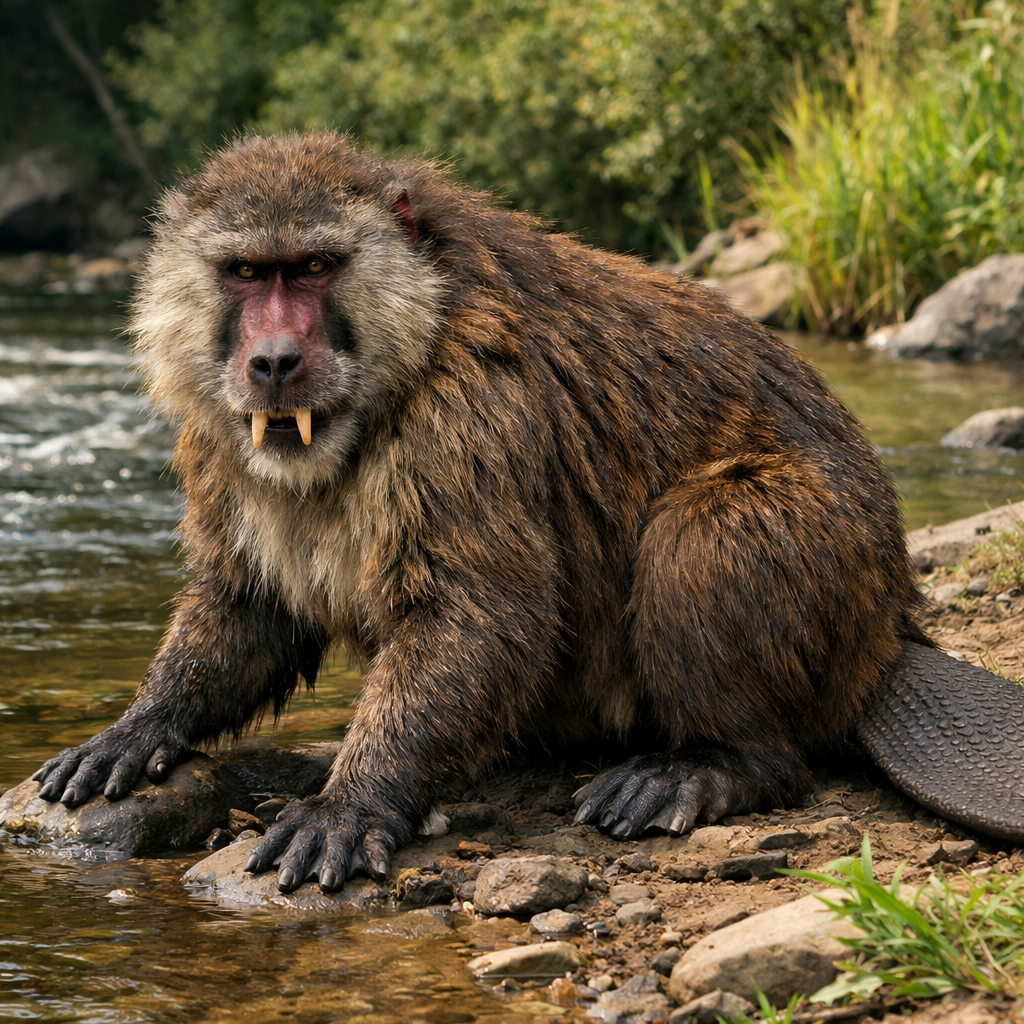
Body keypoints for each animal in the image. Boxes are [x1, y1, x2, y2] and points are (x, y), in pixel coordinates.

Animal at [30, 133, 1024, 895]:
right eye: (245, 273)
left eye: (313, 268)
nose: (274, 360)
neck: (410, 343)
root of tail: (888, 643)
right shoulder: (216, 431)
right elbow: (249, 601)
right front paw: (137, 729)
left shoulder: (472, 404)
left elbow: (483, 612)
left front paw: (347, 804)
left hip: (822, 556)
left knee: (700, 536)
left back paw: (707, 767)